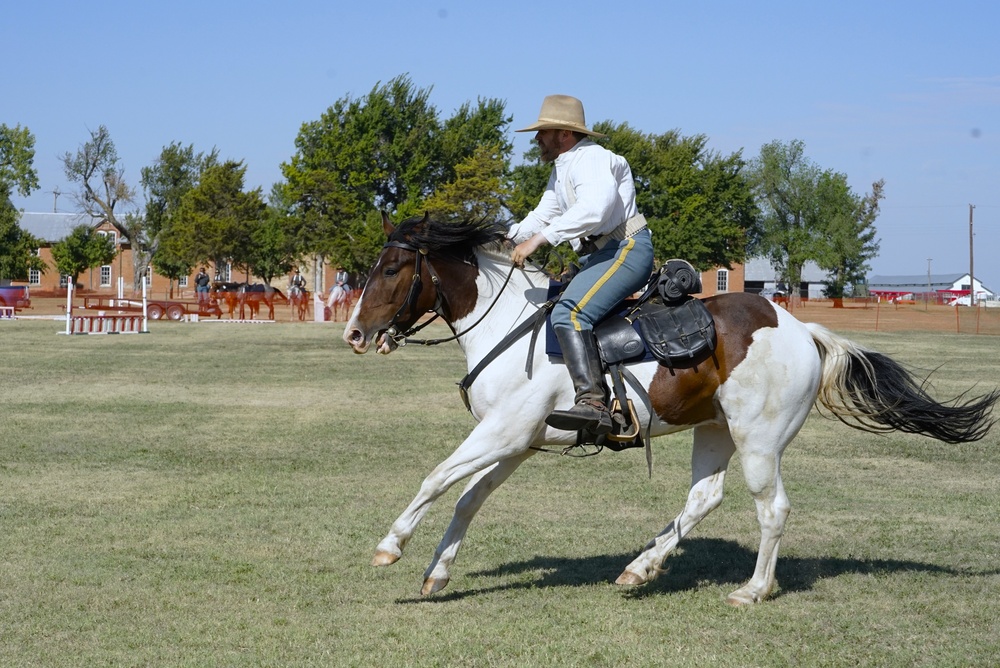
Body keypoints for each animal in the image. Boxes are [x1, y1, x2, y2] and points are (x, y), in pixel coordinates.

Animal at [340, 214, 996, 604]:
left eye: (393, 268)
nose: (354, 333)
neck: (506, 325)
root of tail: (800, 328)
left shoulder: (504, 435)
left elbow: (435, 480)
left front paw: (391, 546)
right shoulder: (518, 443)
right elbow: (468, 498)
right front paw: (437, 571)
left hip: (759, 441)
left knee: (772, 508)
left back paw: (754, 590)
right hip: (715, 430)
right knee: (704, 498)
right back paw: (640, 566)